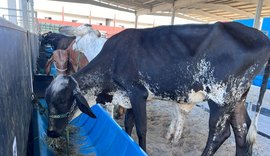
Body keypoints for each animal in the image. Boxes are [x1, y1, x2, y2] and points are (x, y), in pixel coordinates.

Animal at [44, 22, 270, 156]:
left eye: (63, 101)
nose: (51, 132)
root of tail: (262, 37)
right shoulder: (127, 97)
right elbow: (128, 126)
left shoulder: (137, 93)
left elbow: (141, 129)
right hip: (237, 99)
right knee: (242, 133)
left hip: (220, 98)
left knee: (220, 133)